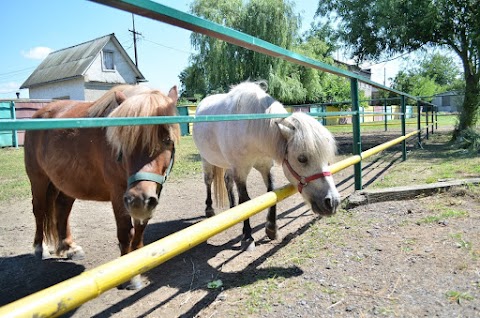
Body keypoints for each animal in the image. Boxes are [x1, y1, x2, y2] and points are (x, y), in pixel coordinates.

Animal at [23, 84, 180, 288]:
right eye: (123, 141)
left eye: (168, 140)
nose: (138, 201)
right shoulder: (119, 194)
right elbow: (125, 232)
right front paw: (129, 275)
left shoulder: (151, 194)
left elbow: (140, 230)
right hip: (39, 179)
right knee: (39, 210)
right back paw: (39, 248)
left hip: (67, 183)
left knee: (62, 209)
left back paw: (68, 247)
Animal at [193, 82, 340, 251]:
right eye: (302, 158)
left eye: (327, 160)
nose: (332, 202)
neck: (251, 128)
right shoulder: (240, 169)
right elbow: (246, 201)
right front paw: (247, 236)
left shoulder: (265, 167)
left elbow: (271, 194)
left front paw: (272, 229)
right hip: (206, 160)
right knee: (208, 181)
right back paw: (209, 209)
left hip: (228, 165)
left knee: (227, 181)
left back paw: (233, 209)